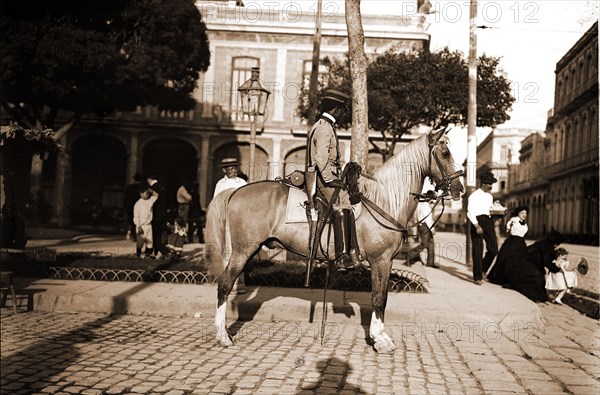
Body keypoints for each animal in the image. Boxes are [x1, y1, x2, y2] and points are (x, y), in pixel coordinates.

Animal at [205, 126, 464, 352]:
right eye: (445, 153)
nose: (460, 188)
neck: (385, 199)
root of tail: (236, 191)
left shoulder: (386, 262)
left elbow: (382, 297)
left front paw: (380, 336)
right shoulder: (380, 260)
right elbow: (379, 298)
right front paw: (380, 339)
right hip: (243, 251)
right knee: (224, 285)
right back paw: (223, 336)